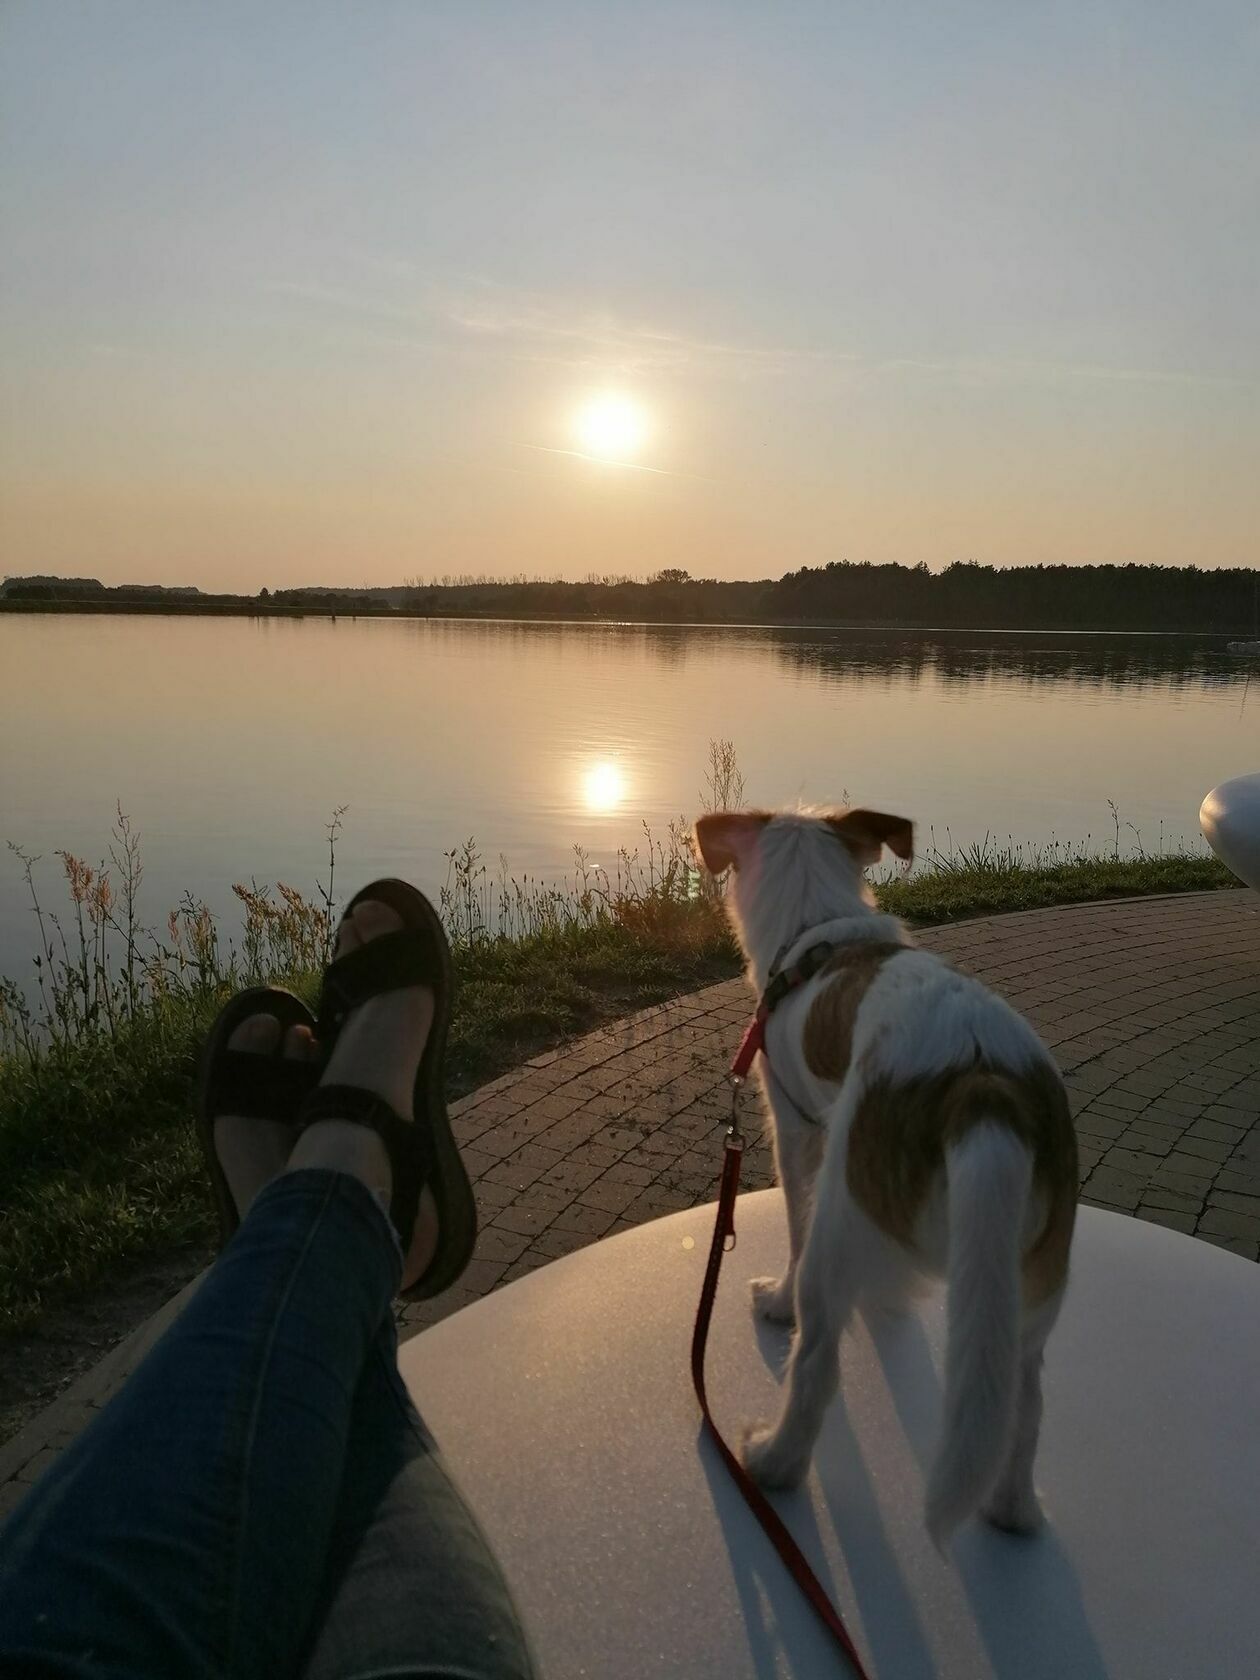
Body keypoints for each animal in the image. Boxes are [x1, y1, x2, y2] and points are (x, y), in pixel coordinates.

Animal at [693, 806, 1078, 1543]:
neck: (816, 921)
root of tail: (983, 1085)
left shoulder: (798, 1133)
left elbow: (793, 1225)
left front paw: (776, 1299)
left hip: (840, 1225)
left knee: (816, 1364)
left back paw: (772, 1460)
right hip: (1030, 1293)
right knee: (1027, 1404)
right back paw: (1012, 1511)